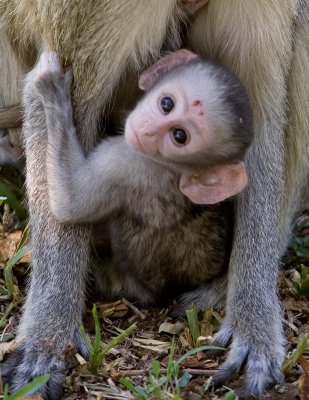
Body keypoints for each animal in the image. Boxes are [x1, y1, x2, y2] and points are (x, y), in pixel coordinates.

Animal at [27, 50, 251, 306]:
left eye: (179, 136)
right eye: (166, 104)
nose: (148, 130)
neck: (172, 168)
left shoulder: (122, 163)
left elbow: (68, 204)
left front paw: (53, 91)